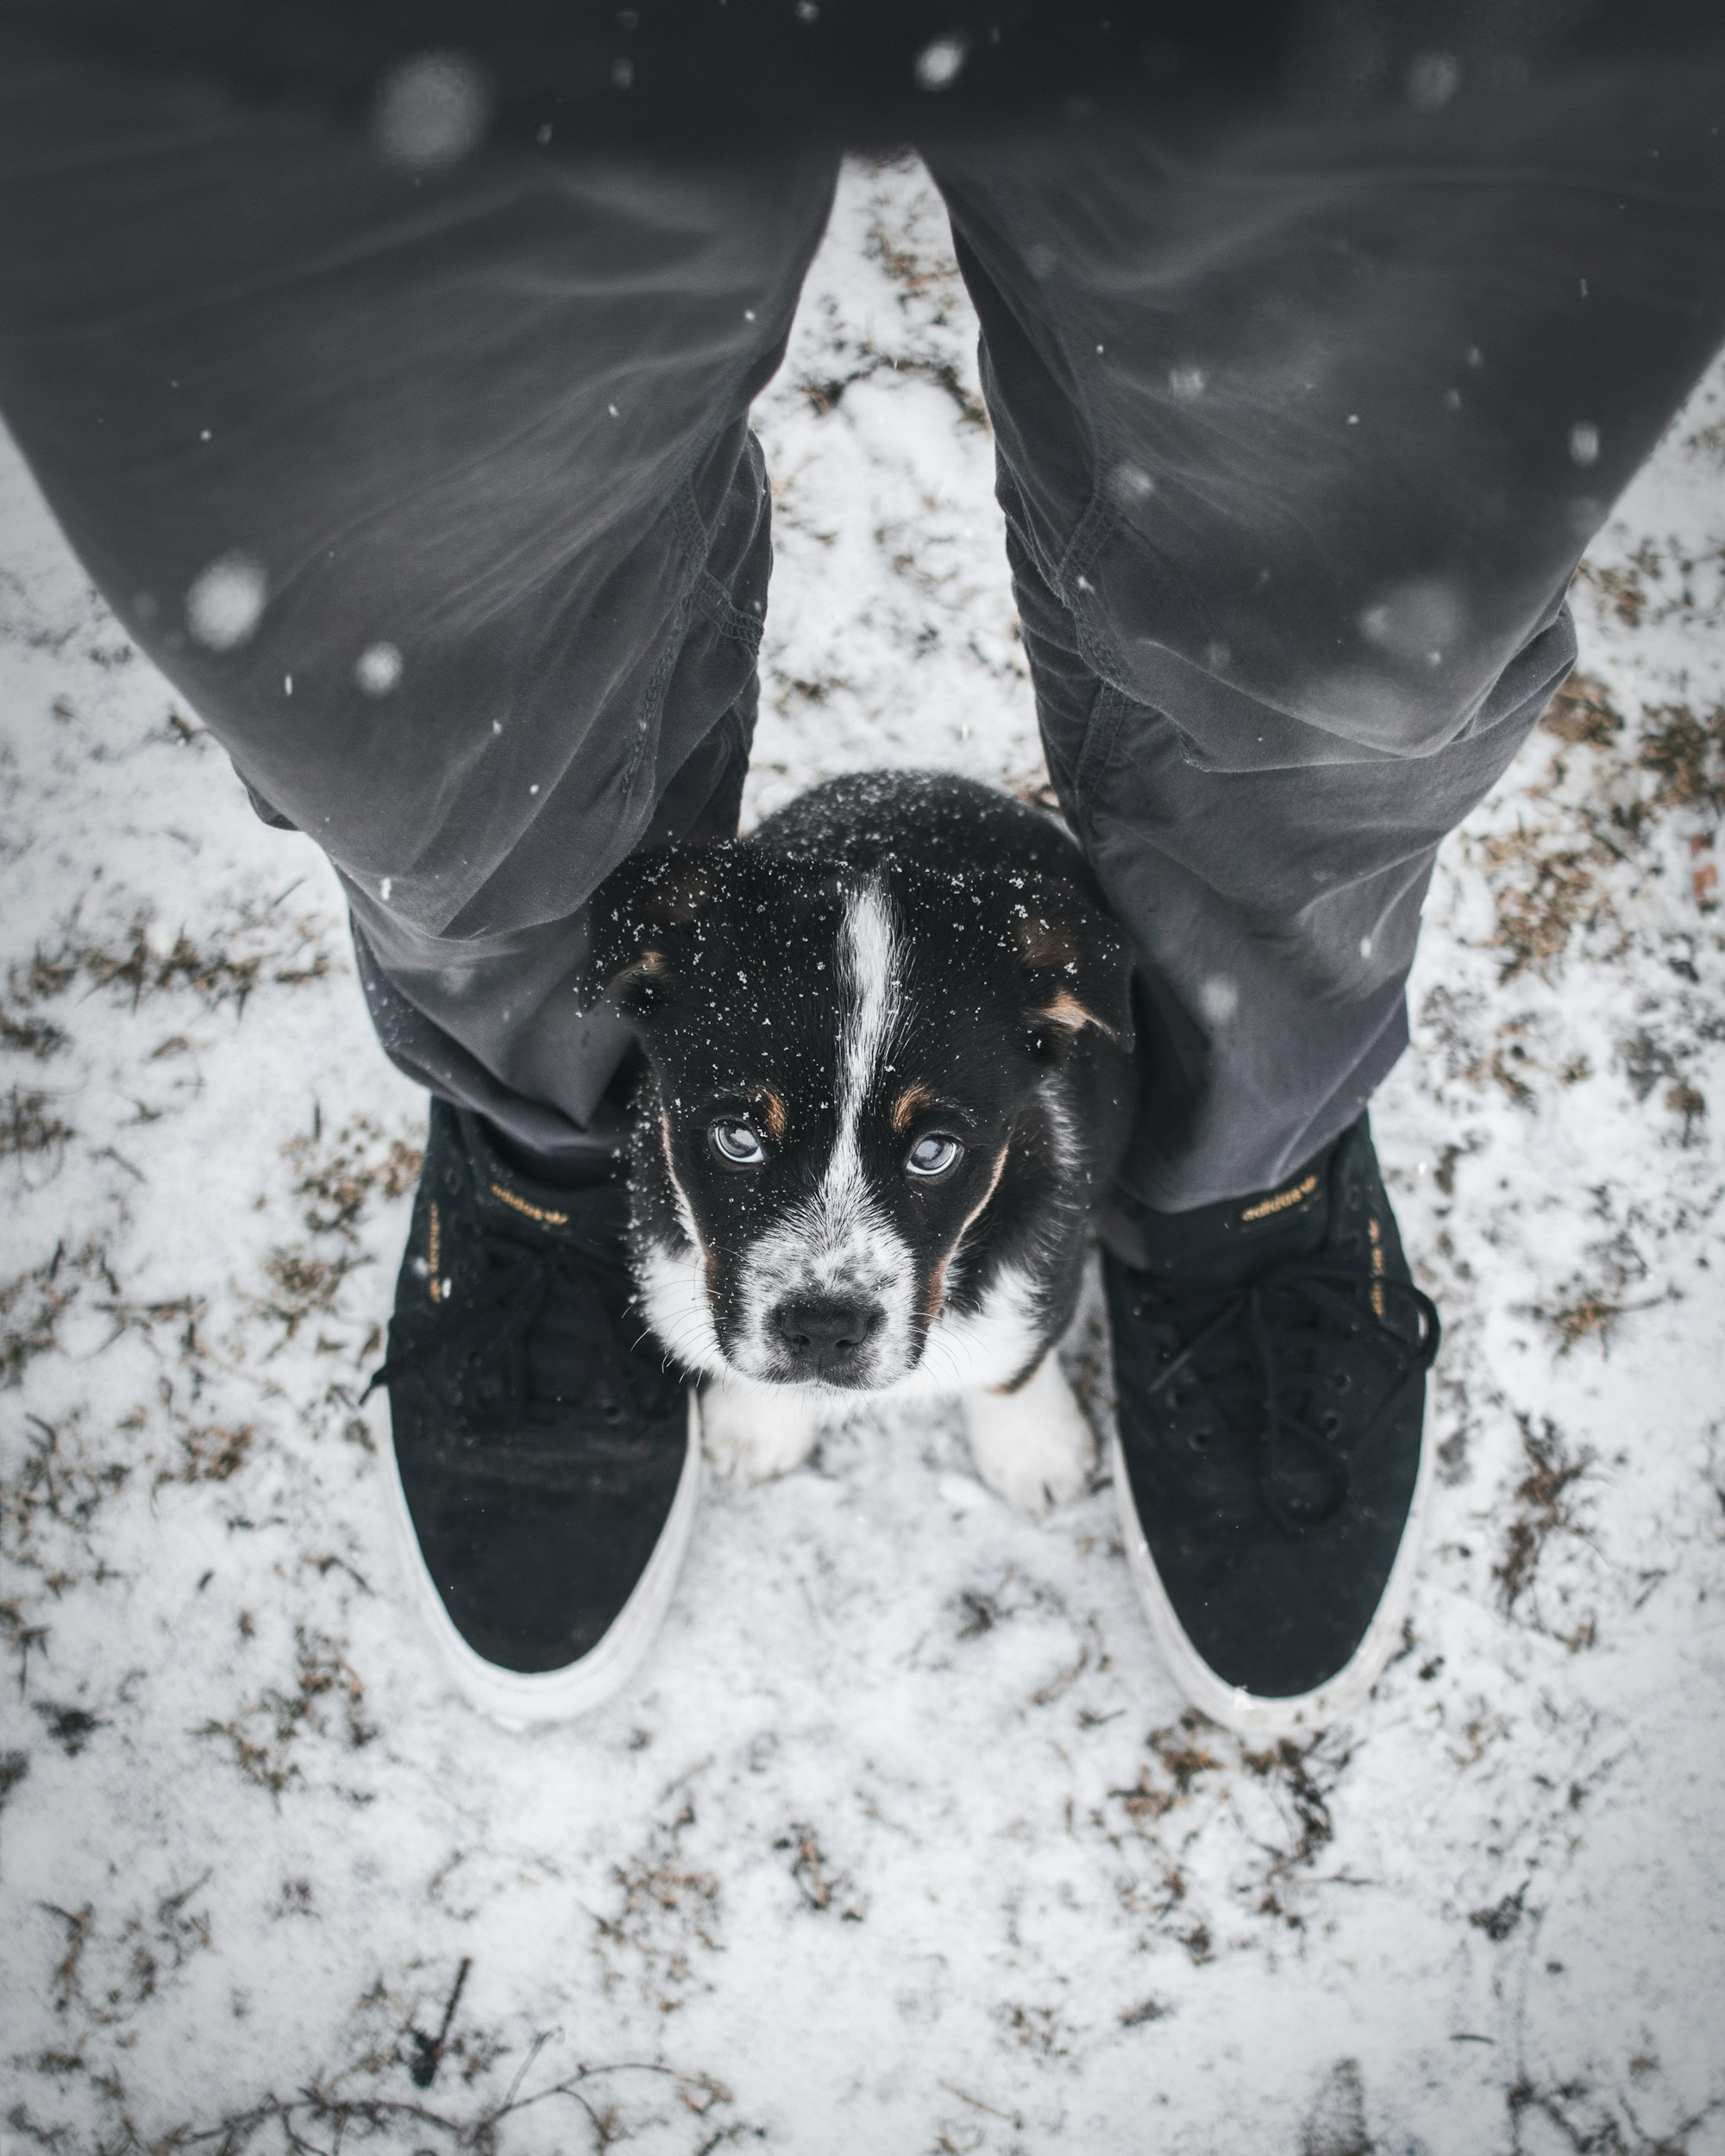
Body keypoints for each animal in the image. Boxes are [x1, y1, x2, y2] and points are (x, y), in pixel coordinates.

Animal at [586, 776, 1138, 1518]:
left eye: (933, 1152)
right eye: (738, 1138)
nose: (823, 1329)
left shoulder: (1049, 1240)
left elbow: (1016, 1358)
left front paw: (1035, 1451)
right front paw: (757, 1427)